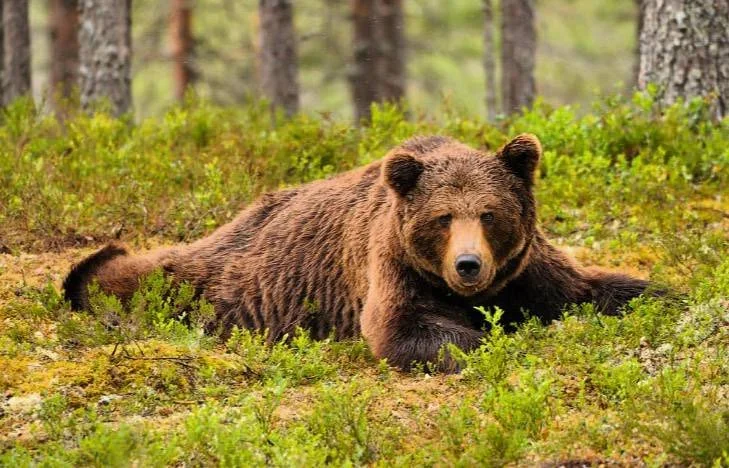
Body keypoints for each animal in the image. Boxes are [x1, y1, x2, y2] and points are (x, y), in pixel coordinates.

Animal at [64, 134, 652, 370]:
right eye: (444, 218)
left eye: (489, 214)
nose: (468, 265)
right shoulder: (391, 266)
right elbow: (404, 328)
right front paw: (489, 337)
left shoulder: (525, 269)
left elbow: (594, 288)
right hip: (230, 277)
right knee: (158, 276)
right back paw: (88, 274)